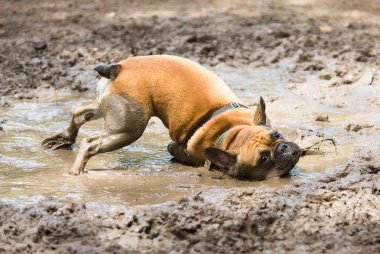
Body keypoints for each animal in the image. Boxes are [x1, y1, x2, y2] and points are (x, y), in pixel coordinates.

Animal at [41, 54, 302, 180]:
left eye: (277, 134)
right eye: (263, 159)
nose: (284, 148)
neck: (231, 132)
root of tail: (117, 69)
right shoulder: (181, 149)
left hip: (108, 109)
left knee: (78, 114)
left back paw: (63, 139)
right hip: (128, 129)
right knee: (91, 143)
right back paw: (76, 171)